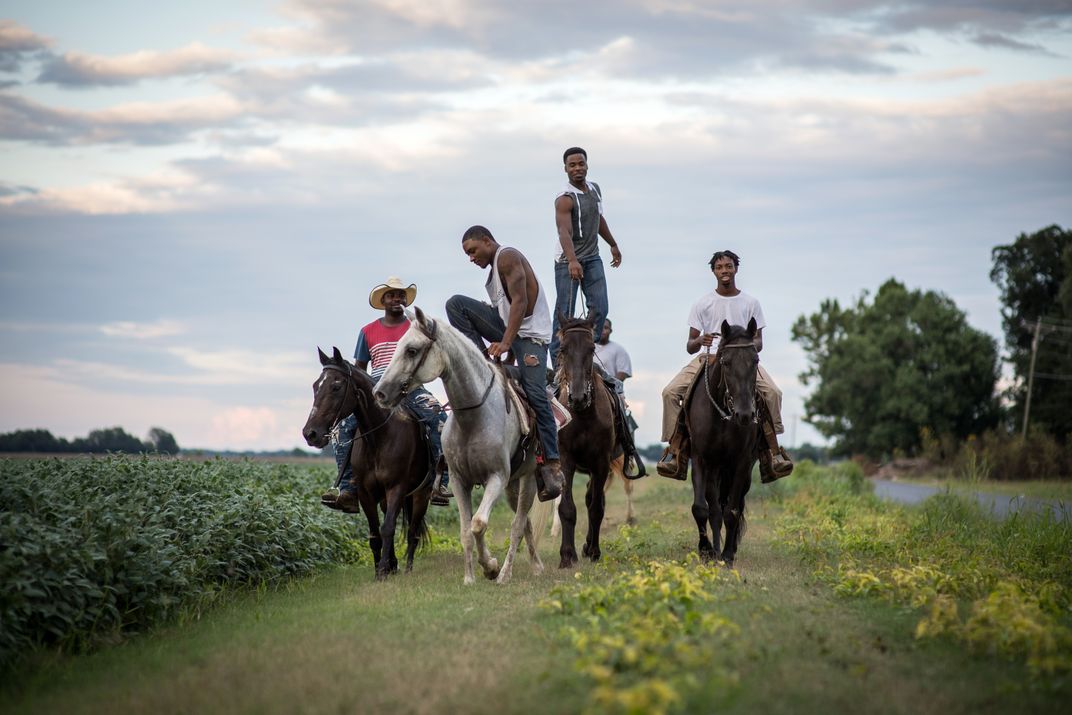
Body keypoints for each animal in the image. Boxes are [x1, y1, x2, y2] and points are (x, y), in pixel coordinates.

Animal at [302, 347, 430, 583]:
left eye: (336, 386)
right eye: (316, 386)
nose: (310, 434)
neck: (379, 437)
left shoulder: (396, 488)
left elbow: (388, 528)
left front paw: (383, 569)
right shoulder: (365, 492)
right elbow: (374, 533)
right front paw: (381, 568)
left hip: (421, 494)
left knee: (413, 532)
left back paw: (407, 567)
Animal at [375, 304, 544, 583]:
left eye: (412, 350)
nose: (380, 392)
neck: (473, 418)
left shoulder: (496, 477)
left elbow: (478, 523)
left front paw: (491, 567)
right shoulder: (458, 480)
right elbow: (466, 530)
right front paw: (470, 578)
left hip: (527, 478)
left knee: (518, 525)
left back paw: (506, 574)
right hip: (512, 485)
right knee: (526, 524)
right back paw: (535, 564)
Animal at [553, 315, 621, 565]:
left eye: (592, 348)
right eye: (563, 349)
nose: (578, 397)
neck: (583, 415)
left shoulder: (601, 463)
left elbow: (596, 508)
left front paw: (593, 550)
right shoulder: (566, 460)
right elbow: (567, 508)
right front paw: (567, 554)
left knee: (594, 499)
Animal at [686, 319, 763, 565]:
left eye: (755, 360)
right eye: (726, 363)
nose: (745, 415)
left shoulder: (742, 463)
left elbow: (732, 511)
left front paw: (728, 555)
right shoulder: (701, 459)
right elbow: (701, 508)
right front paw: (706, 550)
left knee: (733, 505)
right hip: (715, 470)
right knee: (714, 509)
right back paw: (715, 549)